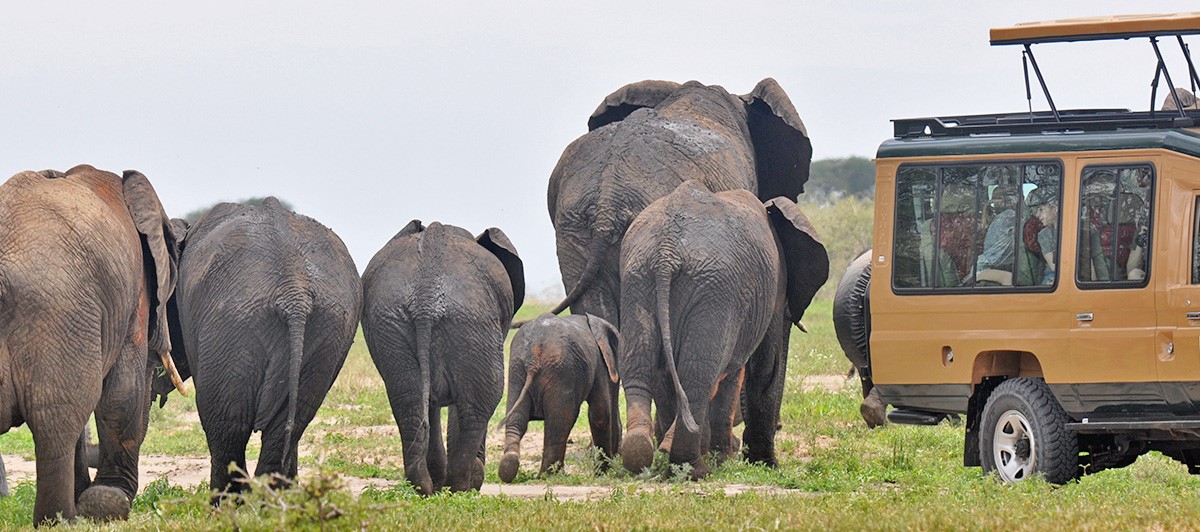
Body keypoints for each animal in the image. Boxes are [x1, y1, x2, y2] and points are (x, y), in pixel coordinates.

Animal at [0, 165, 184, 525]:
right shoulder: (135, 292)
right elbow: (121, 393)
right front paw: (108, 502)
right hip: (59, 310)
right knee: (57, 417)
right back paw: (60, 520)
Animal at [171, 198, 360, 497]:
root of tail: (294, 292)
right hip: (330, 331)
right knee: (288, 423)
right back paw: (273, 499)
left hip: (232, 324)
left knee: (226, 423)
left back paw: (227, 503)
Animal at [357, 220, 523, 494]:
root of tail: (425, 295)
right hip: (471, 322)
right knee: (480, 404)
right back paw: (461, 488)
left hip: (391, 324)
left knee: (408, 402)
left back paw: (426, 487)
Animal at [499, 312, 624, 482]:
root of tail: (533, 355)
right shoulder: (599, 363)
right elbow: (600, 414)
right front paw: (603, 473)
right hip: (562, 371)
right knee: (560, 421)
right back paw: (552, 475)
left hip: (517, 370)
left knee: (517, 419)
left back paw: (509, 468)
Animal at [619, 182, 825, 477]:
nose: (780, 426)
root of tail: (666, 253)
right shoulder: (773, 288)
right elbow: (762, 369)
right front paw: (759, 464)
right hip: (713, 289)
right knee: (700, 373)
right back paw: (694, 468)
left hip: (638, 279)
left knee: (642, 366)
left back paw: (645, 454)